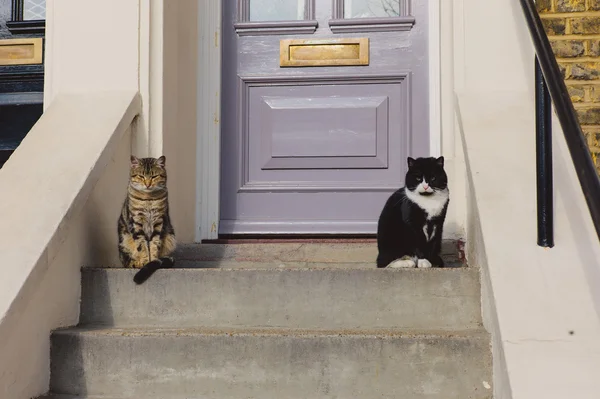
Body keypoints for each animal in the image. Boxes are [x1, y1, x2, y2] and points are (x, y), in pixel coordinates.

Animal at [118, 156, 177, 284]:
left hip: (170, 237)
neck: (148, 199)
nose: (148, 184)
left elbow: (155, 244)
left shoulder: (159, 222)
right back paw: (136, 263)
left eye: (154, 177)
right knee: (127, 261)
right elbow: (142, 245)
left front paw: (153, 260)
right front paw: (145, 261)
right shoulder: (136, 222)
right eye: (141, 176)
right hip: (124, 240)